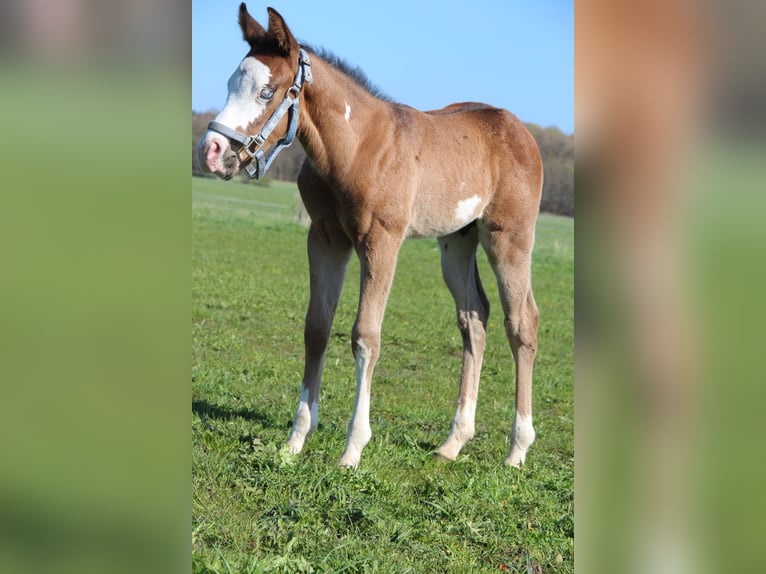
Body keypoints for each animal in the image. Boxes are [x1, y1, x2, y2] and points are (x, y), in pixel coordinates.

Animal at [198, 4, 543, 469]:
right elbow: (316, 328)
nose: (211, 152)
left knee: (521, 322)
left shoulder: (381, 242)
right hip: (457, 241)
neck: (356, 146)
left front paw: (353, 449)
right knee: (474, 319)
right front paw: (294, 440)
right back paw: (453, 443)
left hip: (509, 238)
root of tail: (518, 129)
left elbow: (365, 336)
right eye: (230, 84)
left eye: (266, 92)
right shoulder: (325, 239)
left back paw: (517, 450)